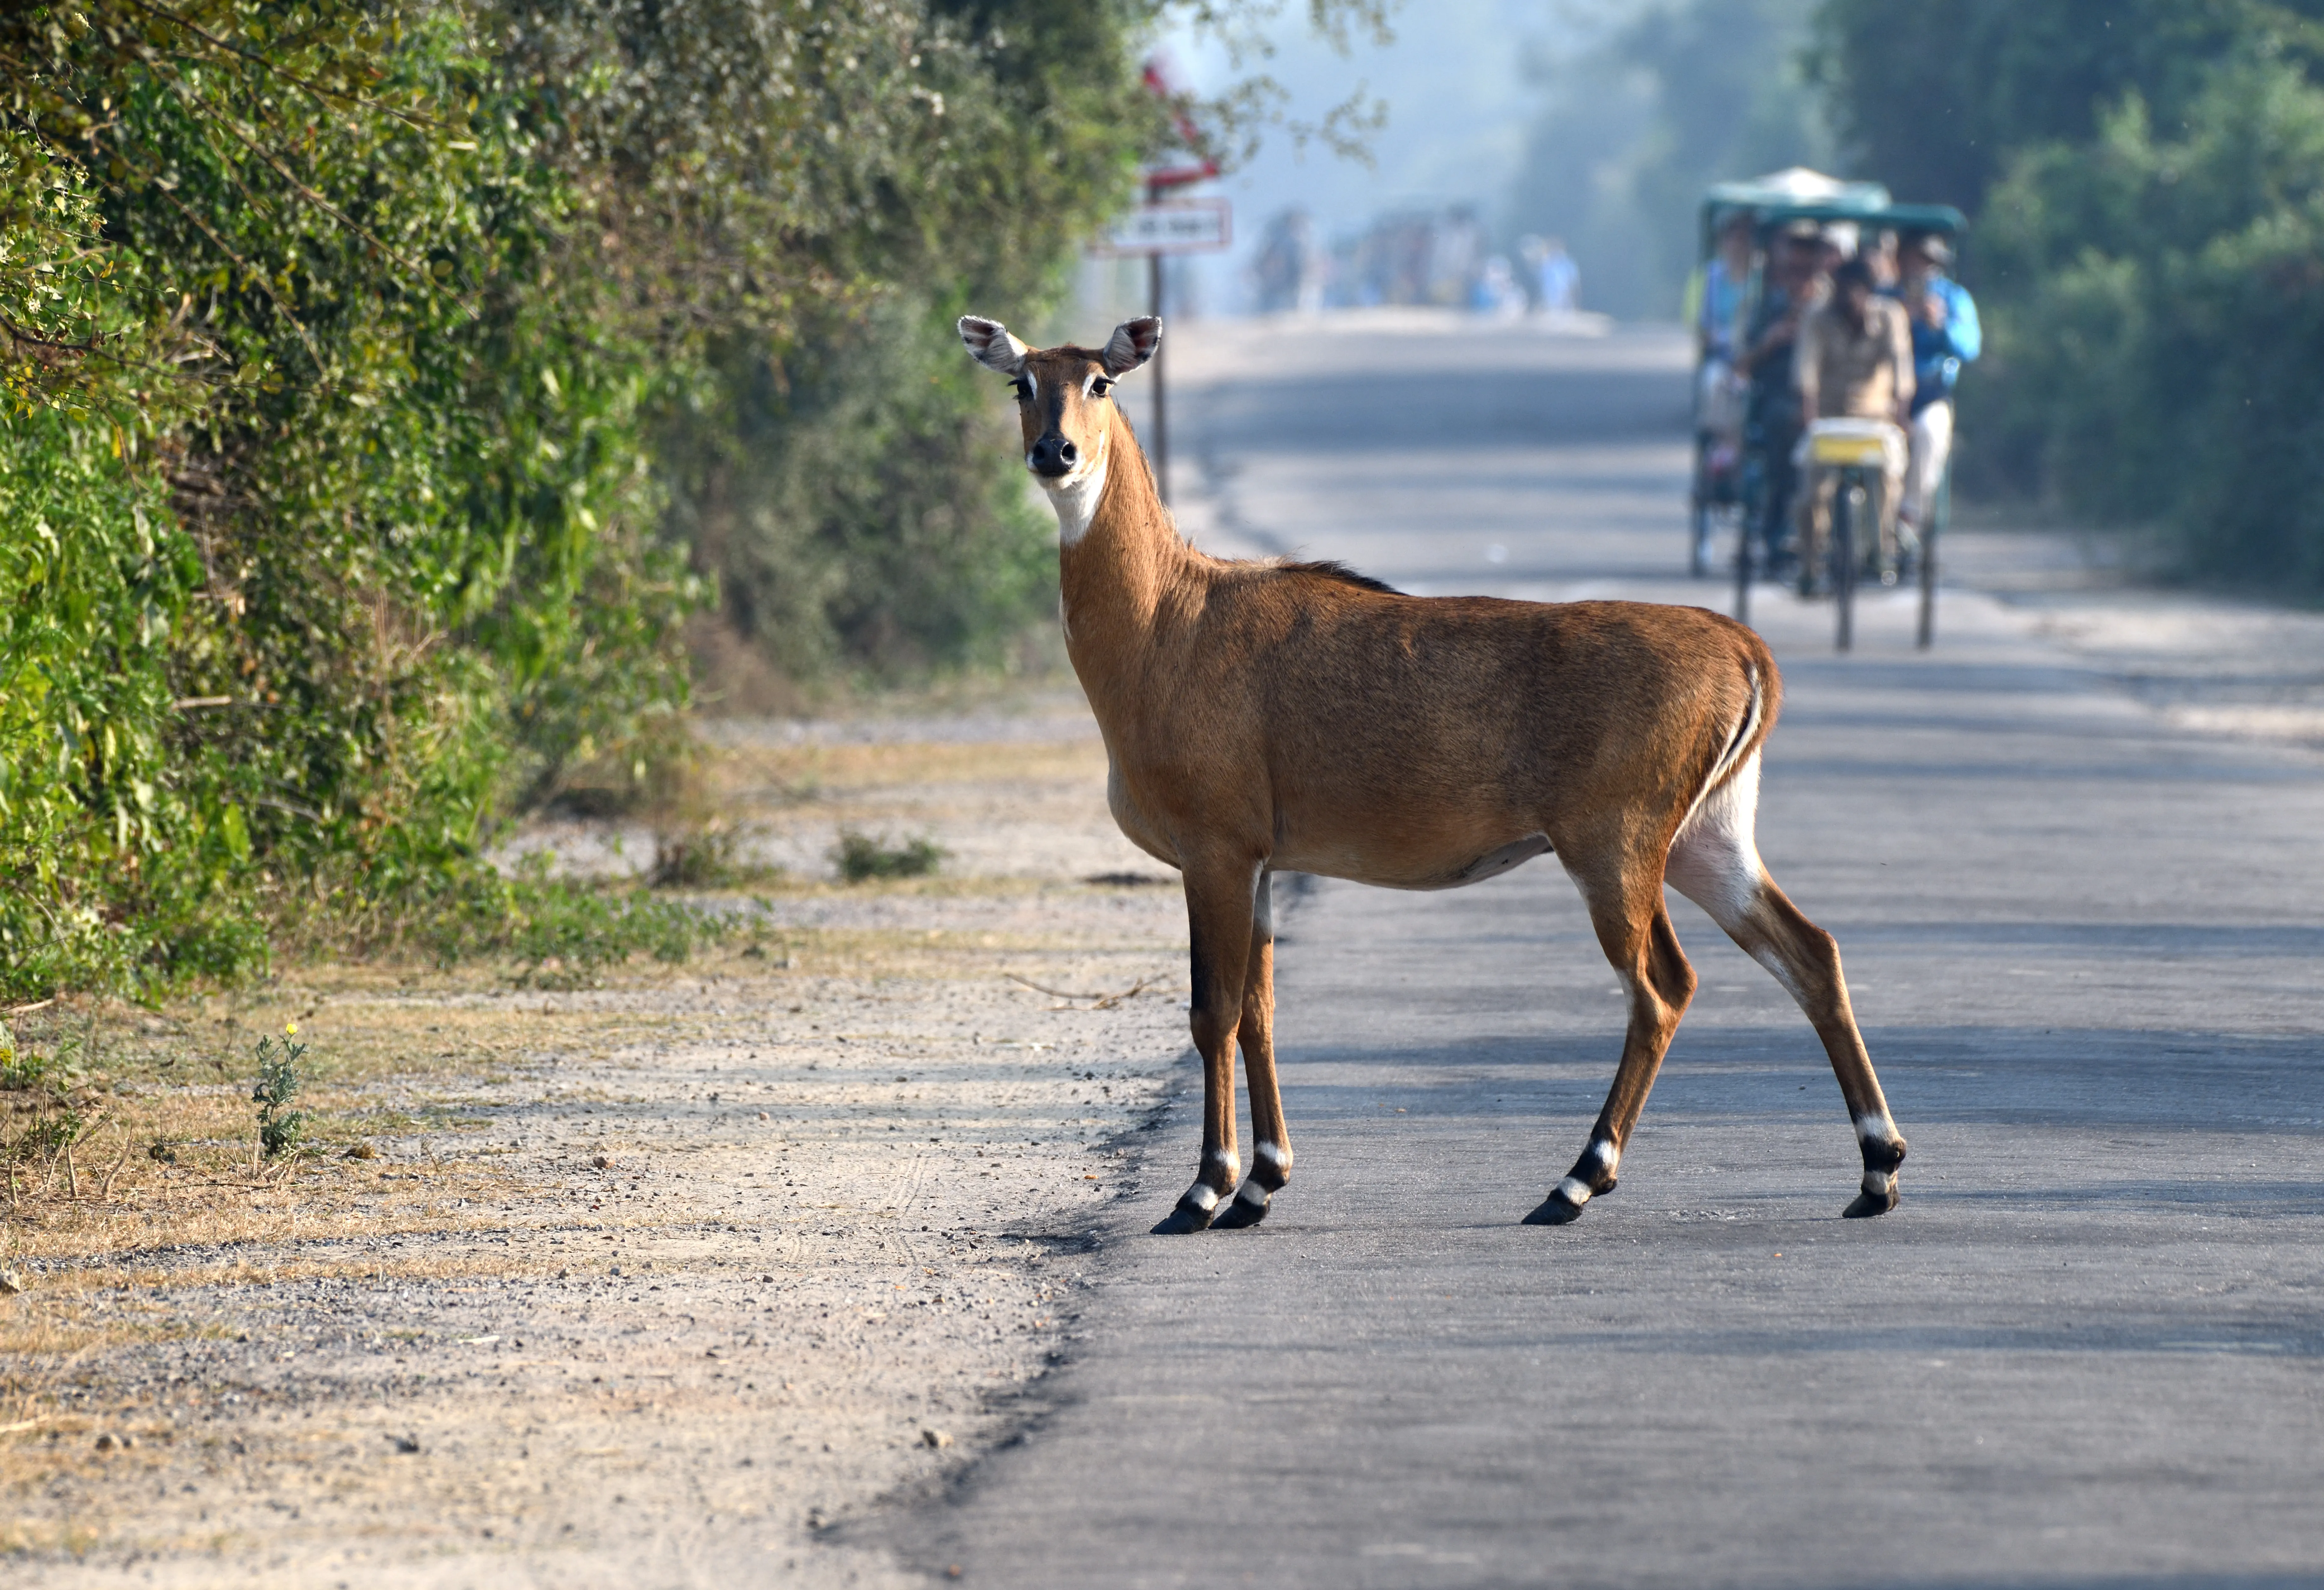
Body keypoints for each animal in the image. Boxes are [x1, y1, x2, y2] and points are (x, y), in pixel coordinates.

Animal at [957, 311, 1906, 1227]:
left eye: (1101, 381)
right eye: (1021, 383)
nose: (1056, 452)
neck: (1168, 619)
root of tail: (1743, 649)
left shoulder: (1214, 849)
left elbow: (1212, 1011)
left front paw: (1204, 1188)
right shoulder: (1261, 861)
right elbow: (1261, 1009)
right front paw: (1262, 1181)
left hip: (1617, 843)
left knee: (1663, 986)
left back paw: (1576, 1180)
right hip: (1707, 837)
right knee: (1809, 950)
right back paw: (1877, 1168)